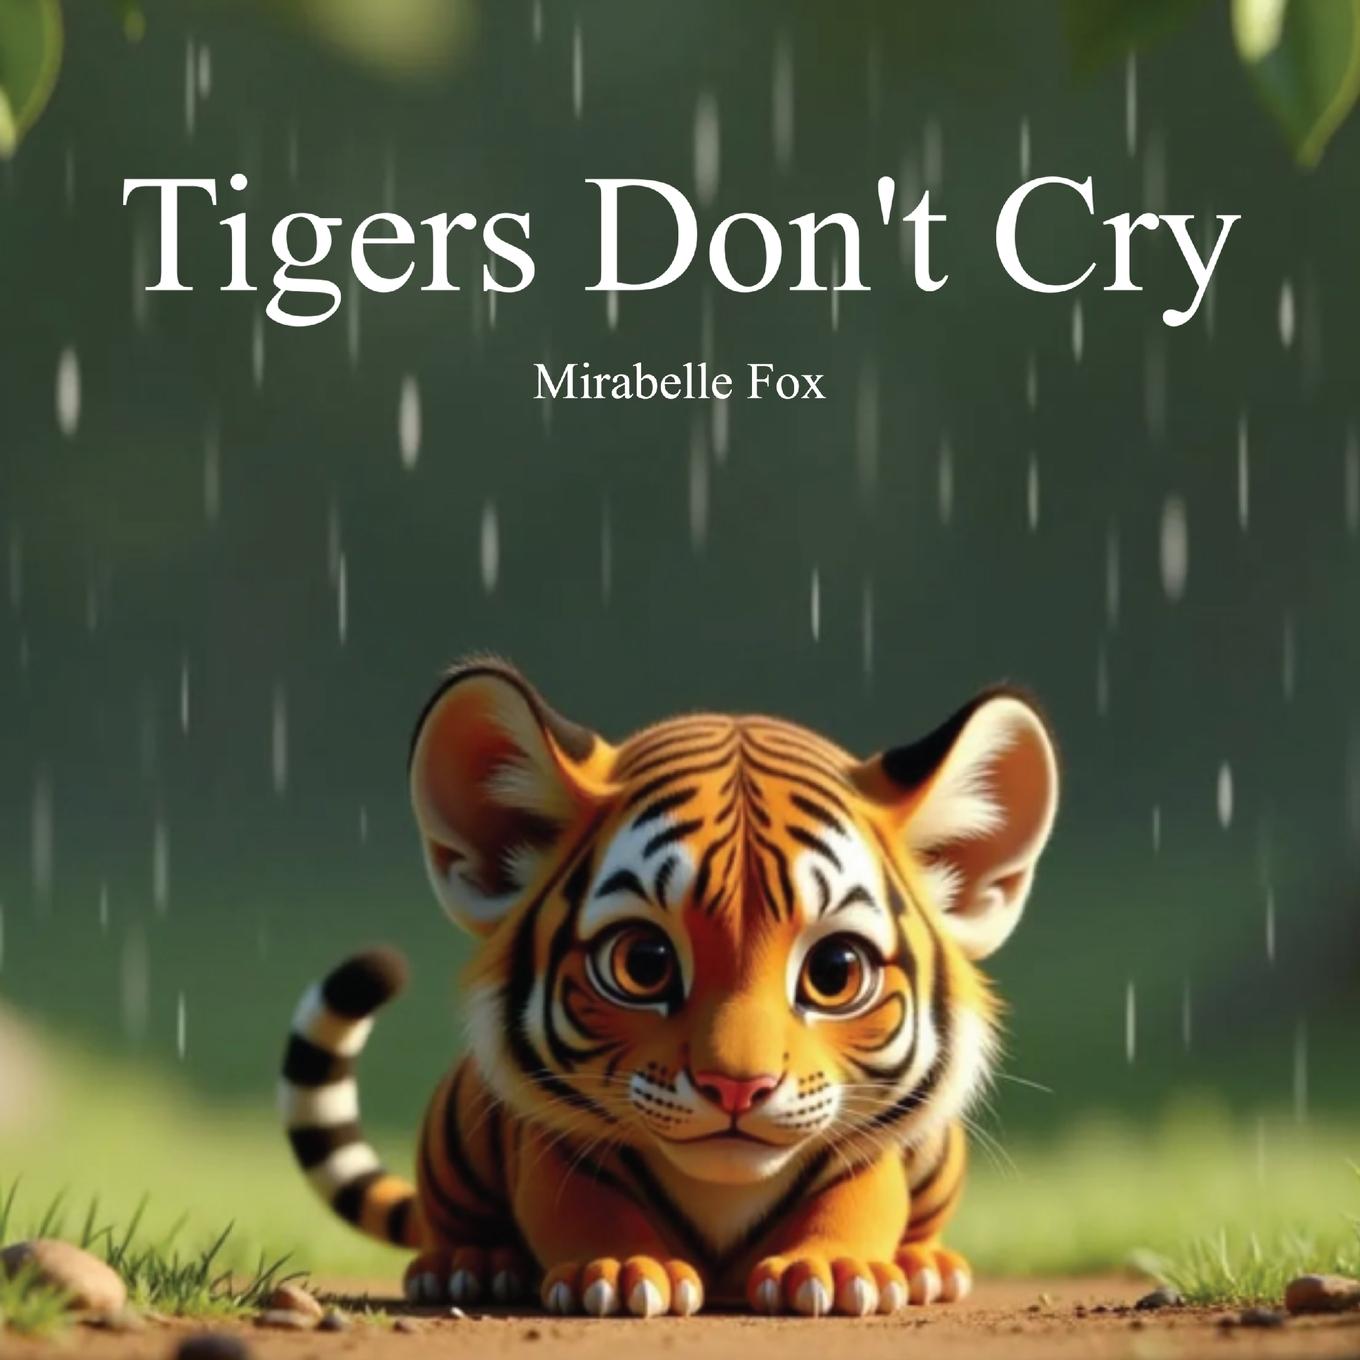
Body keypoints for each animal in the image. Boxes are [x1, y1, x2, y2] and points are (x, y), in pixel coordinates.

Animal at [279, 660, 1058, 1317]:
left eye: (834, 973)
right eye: (644, 963)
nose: (737, 1087)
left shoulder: (863, 1149)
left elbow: (858, 1198)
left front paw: (835, 1271)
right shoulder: (558, 1147)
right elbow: (582, 1207)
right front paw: (625, 1269)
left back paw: (929, 1266)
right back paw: (473, 1264)